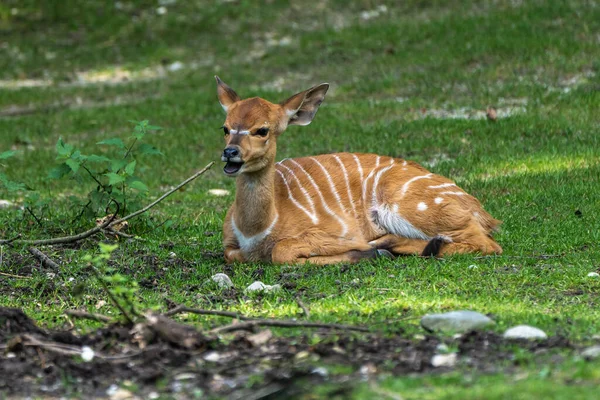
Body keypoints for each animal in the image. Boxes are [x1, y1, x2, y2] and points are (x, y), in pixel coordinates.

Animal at [216, 77, 502, 266]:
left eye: (262, 130)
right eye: (226, 127)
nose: (230, 152)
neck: (256, 231)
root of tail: (480, 210)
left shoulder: (333, 233)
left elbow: (282, 252)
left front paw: (366, 251)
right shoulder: (230, 246)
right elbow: (233, 255)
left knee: (487, 244)